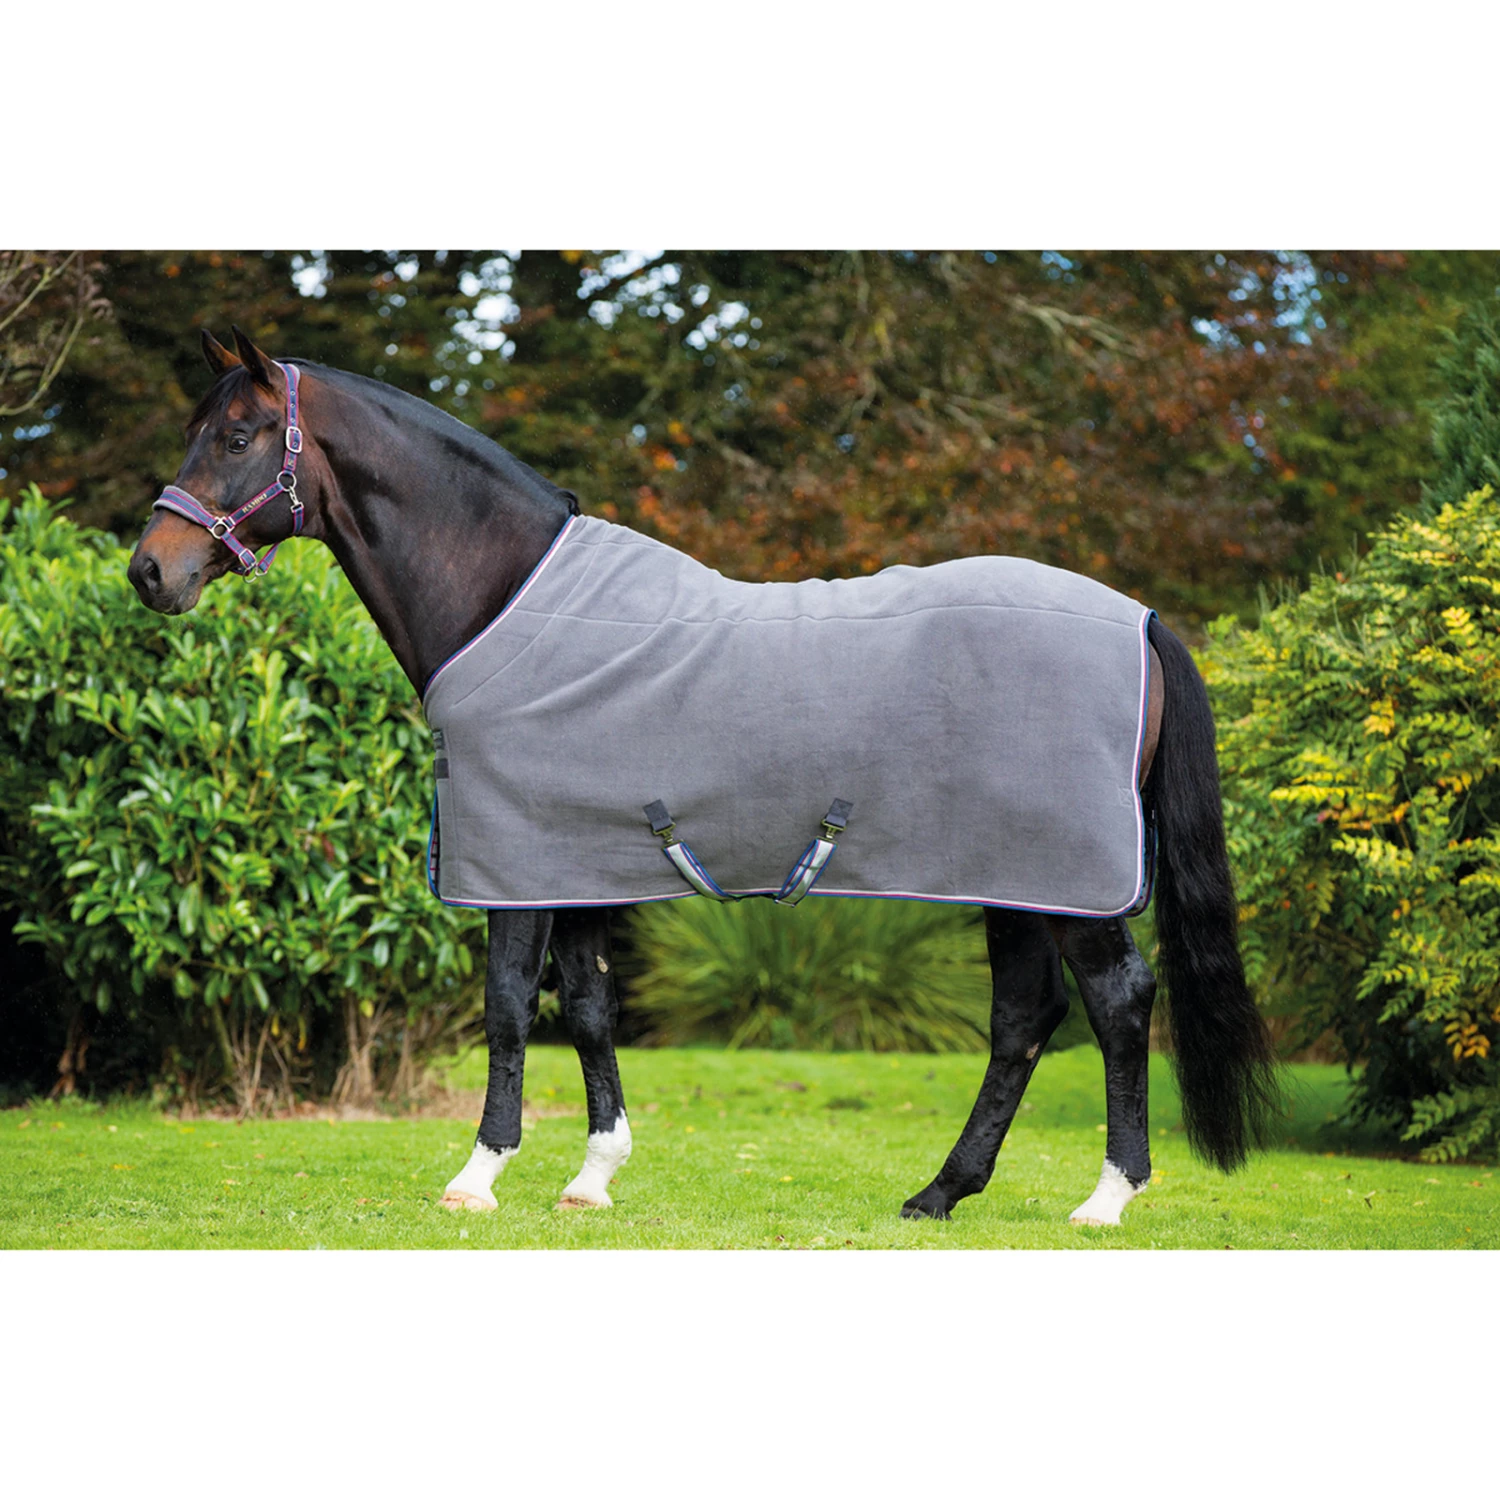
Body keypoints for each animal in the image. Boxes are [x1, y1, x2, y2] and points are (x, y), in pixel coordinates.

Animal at [126, 327, 1279, 1226]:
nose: (149, 571)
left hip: (1067, 878)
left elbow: (508, 1008)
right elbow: (590, 1009)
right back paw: (941, 1192)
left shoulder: (518, 869)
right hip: (1013, 877)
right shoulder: (574, 863)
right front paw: (592, 1178)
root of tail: (1139, 618)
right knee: (1023, 1022)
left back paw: (1106, 1197)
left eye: (236, 437)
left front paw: (477, 1176)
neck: (510, 597)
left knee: (1118, 1002)